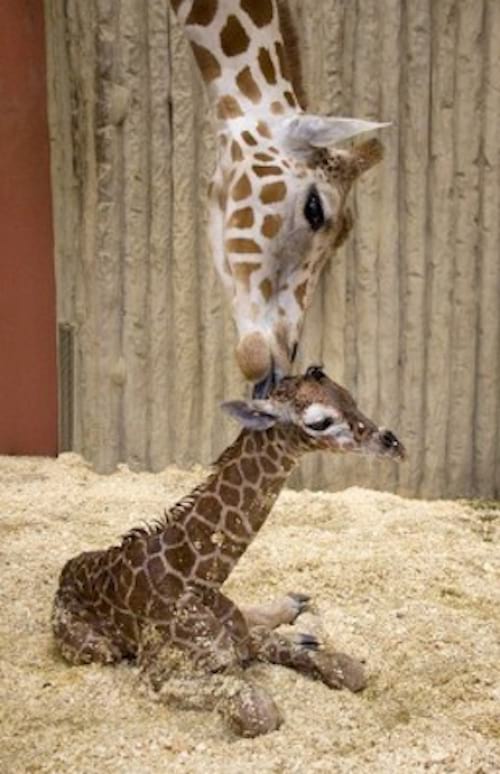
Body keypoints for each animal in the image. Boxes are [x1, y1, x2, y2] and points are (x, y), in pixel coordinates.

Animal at [52, 366, 405, 737]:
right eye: (320, 421)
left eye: (350, 396)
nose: (392, 443)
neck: (193, 578)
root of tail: (68, 566)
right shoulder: (158, 677)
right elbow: (258, 710)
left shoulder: (244, 638)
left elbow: (350, 670)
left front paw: (305, 640)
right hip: (96, 649)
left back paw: (295, 607)